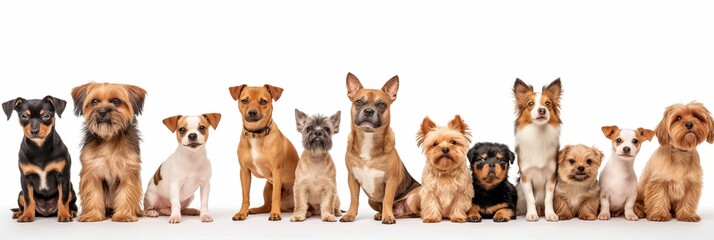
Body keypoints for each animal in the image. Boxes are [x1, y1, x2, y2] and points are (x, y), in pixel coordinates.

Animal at [2, 94, 78, 222]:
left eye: (46, 116)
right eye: (24, 116)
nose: (34, 131)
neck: (40, 147)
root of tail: (46, 212)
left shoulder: (63, 177)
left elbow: (63, 199)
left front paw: (64, 215)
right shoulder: (25, 178)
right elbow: (28, 200)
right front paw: (27, 216)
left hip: (71, 189)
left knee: (71, 203)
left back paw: (71, 212)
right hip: (20, 193)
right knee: (24, 202)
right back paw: (20, 213)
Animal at [71, 83, 146, 223]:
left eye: (116, 101)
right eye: (94, 101)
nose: (102, 112)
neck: (109, 138)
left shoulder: (128, 171)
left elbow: (126, 194)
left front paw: (123, 215)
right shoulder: (91, 172)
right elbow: (93, 194)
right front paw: (93, 215)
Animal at [227, 84, 296, 221]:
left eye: (263, 101)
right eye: (244, 100)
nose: (252, 112)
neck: (256, 134)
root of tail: (288, 208)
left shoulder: (276, 171)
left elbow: (275, 197)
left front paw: (275, 214)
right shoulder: (244, 172)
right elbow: (245, 196)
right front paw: (242, 213)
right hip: (267, 187)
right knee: (266, 206)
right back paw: (255, 210)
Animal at [338, 72, 420, 224]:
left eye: (381, 104)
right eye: (359, 102)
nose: (369, 111)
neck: (368, 137)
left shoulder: (391, 180)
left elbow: (387, 200)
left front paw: (388, 217)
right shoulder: (352, 178)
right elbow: (354, 199)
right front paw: (350, 214)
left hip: (413, 199)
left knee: (412, 213)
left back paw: (390, 215)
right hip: (371, 200)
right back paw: (380, 214)